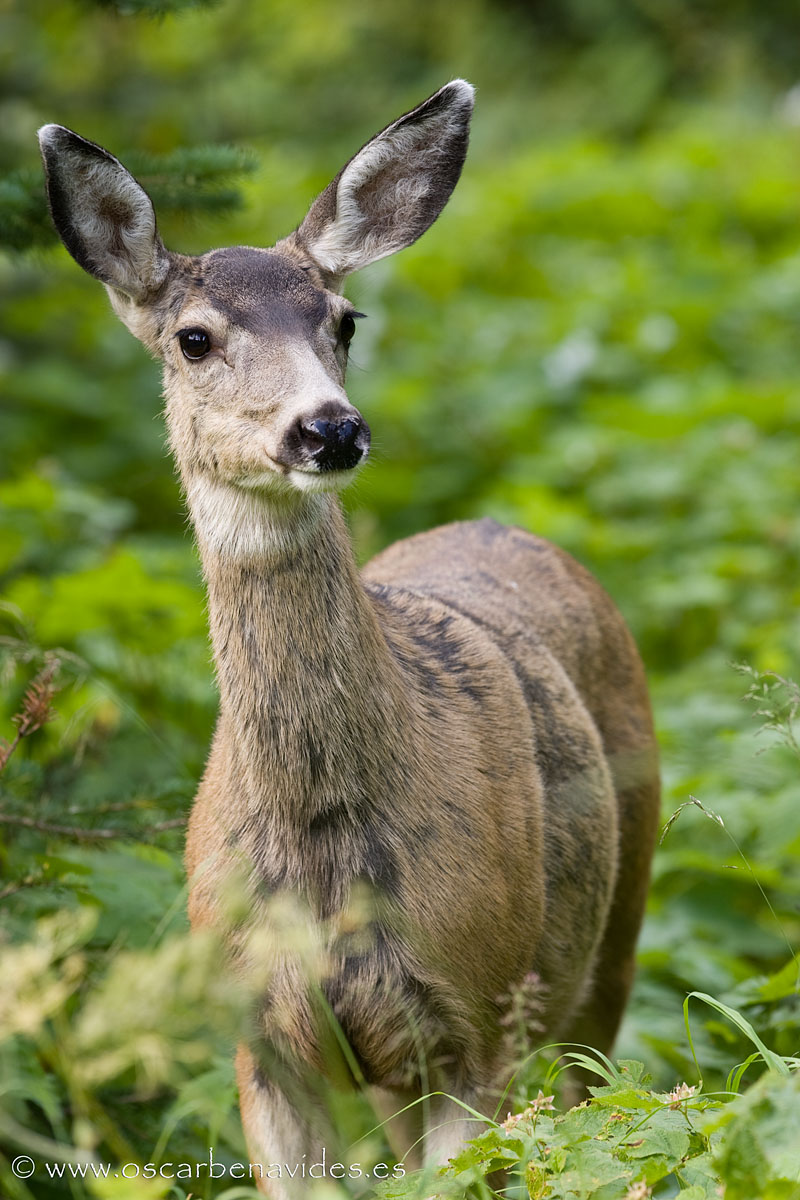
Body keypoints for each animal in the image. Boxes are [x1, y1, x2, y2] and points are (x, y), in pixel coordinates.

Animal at [39, 80, 660, 1196]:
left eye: (344, 319)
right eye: (193, 338)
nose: (328, 428)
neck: (324, 837)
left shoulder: (475, 1015)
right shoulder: (263, 1042)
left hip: (609, 930)